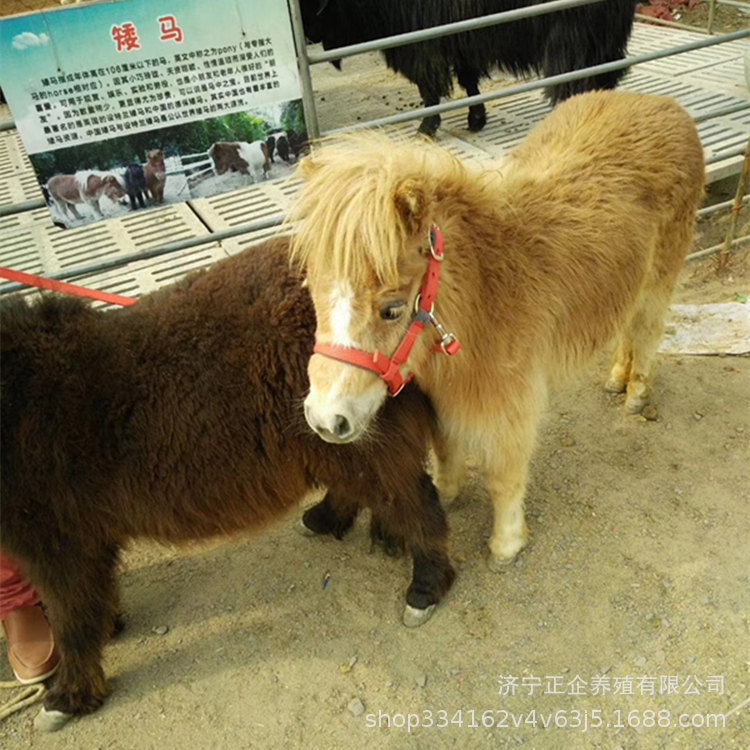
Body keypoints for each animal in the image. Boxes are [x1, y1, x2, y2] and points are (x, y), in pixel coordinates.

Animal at [0, 237, 454, 730]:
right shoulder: (82, 542)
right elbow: (91, 604)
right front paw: (109, 631)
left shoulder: (59, 544)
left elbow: (72, 620)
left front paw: (66, 698)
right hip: (338, 437)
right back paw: (337, 521)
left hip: (360, 435)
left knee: (418, 505)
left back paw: (425, 586)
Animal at [287, 90, 705, 571]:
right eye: (313, 293)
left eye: (391, 309)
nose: (324, 419)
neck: (483, 291)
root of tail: (662, 105)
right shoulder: (443, 401)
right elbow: (446, 451)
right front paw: (445, 494)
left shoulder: (510, 406)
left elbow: (503, 477)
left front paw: (505, 545)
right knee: (627, 331)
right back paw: (616, 378)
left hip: (659, 279)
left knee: (647, 332)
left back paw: (635, 393)